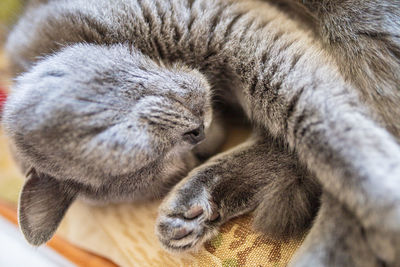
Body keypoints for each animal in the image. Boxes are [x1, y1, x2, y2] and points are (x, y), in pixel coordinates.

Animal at [2, 0, 400, 266]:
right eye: (172, 163)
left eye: (117, 137)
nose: (199, 132)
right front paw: (195, 207)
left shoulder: (240, 28)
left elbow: (314, 114)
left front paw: (382, 192)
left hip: (359, 31)